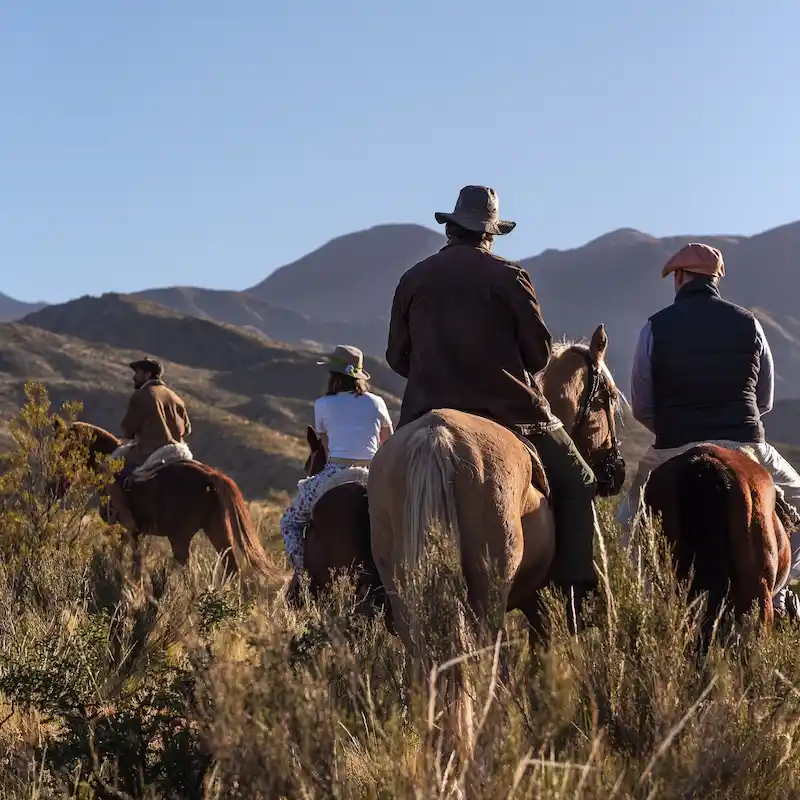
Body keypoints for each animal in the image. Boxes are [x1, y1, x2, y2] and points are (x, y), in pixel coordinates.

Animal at [55, 418, 284, 580]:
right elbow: (136, 561)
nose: (58, 487)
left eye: (66, 450)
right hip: (216, 528)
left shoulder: (123, 528)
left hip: (181, 537)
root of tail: (210, 476)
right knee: (231, 567)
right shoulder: (137, 532)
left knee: (189, 570)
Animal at [368, 322, 624, 752]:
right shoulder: (538, 602)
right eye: (607, 397)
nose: (616, 471)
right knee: (487, 664)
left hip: (405, 591)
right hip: (489, 591)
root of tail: (437, 438)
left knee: (424, 663)